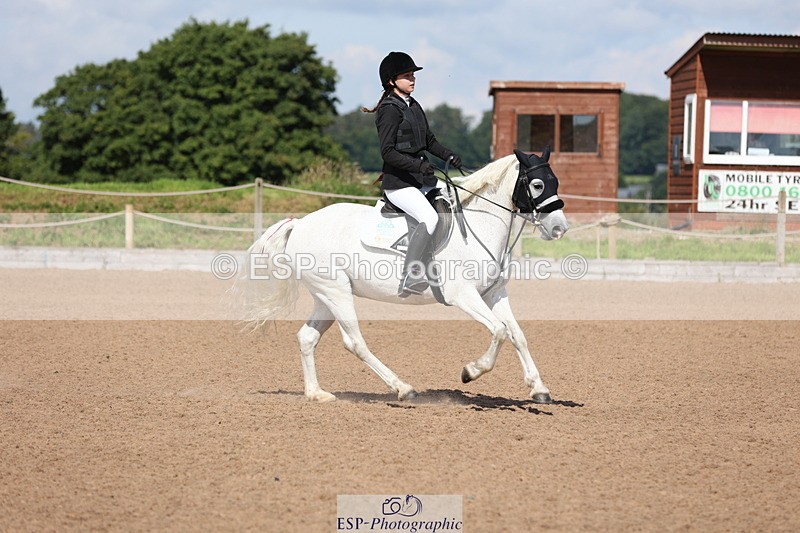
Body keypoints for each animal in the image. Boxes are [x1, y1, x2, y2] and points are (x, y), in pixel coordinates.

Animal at [237, 148, 569, 403]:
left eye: (555, 182)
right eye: (537, 185)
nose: (559, 228)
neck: (479, 226)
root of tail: (301, 224)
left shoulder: (494, 293)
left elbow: (517, 334)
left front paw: (539, 389)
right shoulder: (463, 295)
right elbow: (499, 331)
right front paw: (470, 371)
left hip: (326, 297)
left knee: (307, 338)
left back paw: (317, 394)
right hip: (336, 293)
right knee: (355, 342)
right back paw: (403, 388)